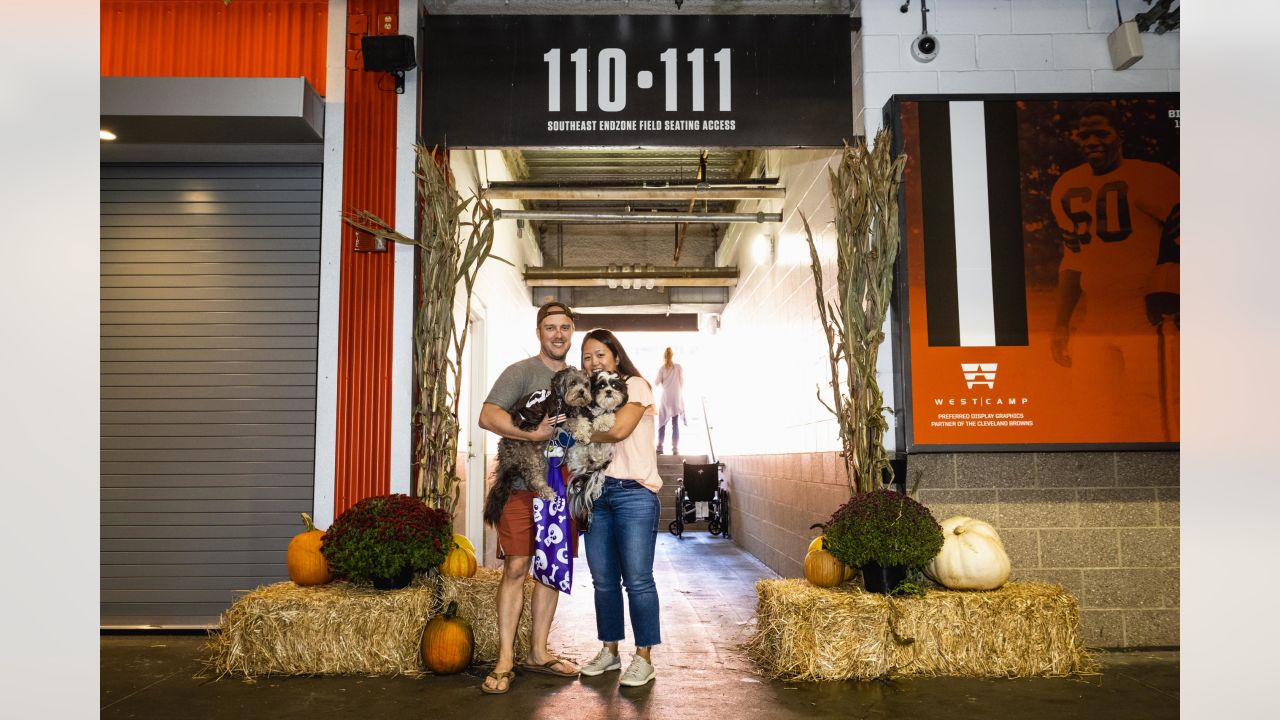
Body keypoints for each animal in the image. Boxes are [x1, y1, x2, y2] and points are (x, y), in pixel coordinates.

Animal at [483, 366, 593, 525]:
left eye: (586, 384)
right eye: (573, 382)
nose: (582, 392)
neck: (562, 401)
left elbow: (580, 419)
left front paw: (585, 428)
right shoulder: (557, 419)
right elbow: (573, 421)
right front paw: (582, 432)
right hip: (530, 458)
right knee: (532, 479)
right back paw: (547, 491)